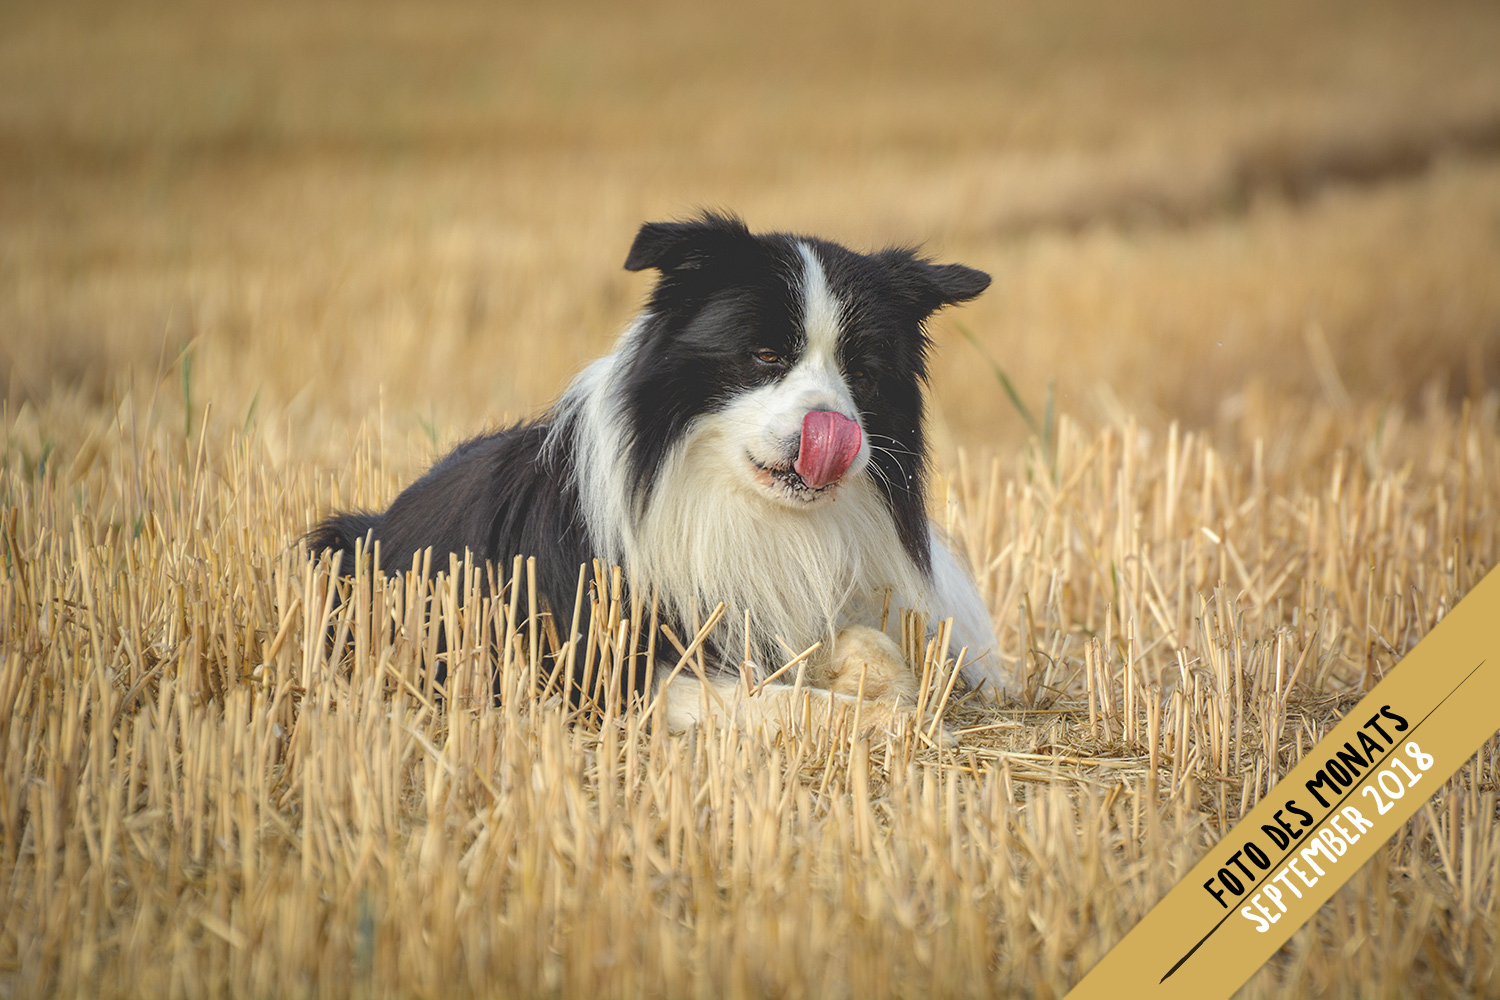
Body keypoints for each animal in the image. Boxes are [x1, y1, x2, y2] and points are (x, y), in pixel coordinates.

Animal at [307, 215, 1008, 740]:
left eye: (862, 374)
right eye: (765, 355)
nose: (835, 433)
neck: (730, 499)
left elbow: (870, 643)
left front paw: (886, 689)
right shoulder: (608, 671)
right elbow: (779, 700)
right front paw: (897, 723)